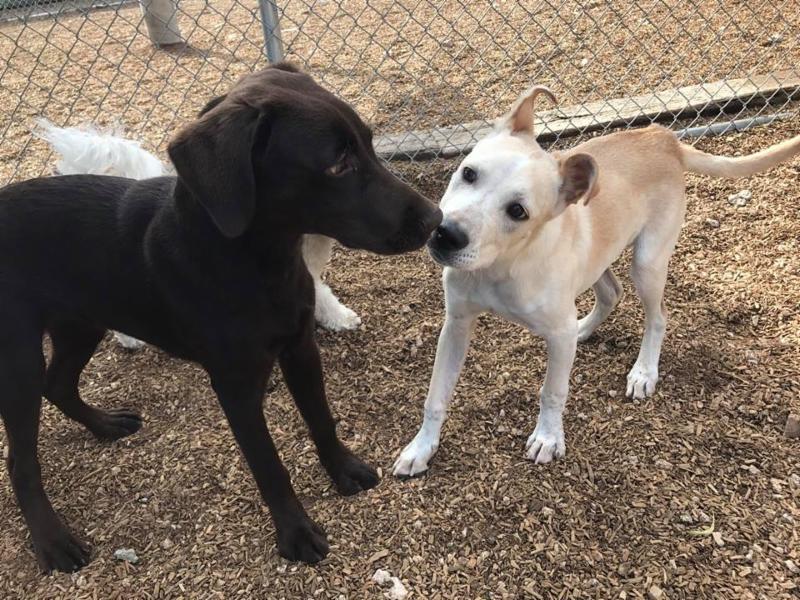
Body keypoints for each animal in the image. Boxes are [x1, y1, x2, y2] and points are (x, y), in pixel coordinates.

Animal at [393, 86, 800, 477]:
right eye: (469, 173)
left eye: (518, 211)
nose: (445, 234)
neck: (502, 265)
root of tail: (663, 137)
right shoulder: (457, 324)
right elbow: (436, 396)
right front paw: (420, 448)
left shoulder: (554, 333)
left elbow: (552, 391)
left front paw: (548, 437)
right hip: (598, 258)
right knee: (611, 294)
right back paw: (585, 329)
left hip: (647, 263)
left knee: (657, 317)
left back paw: (643, 371)